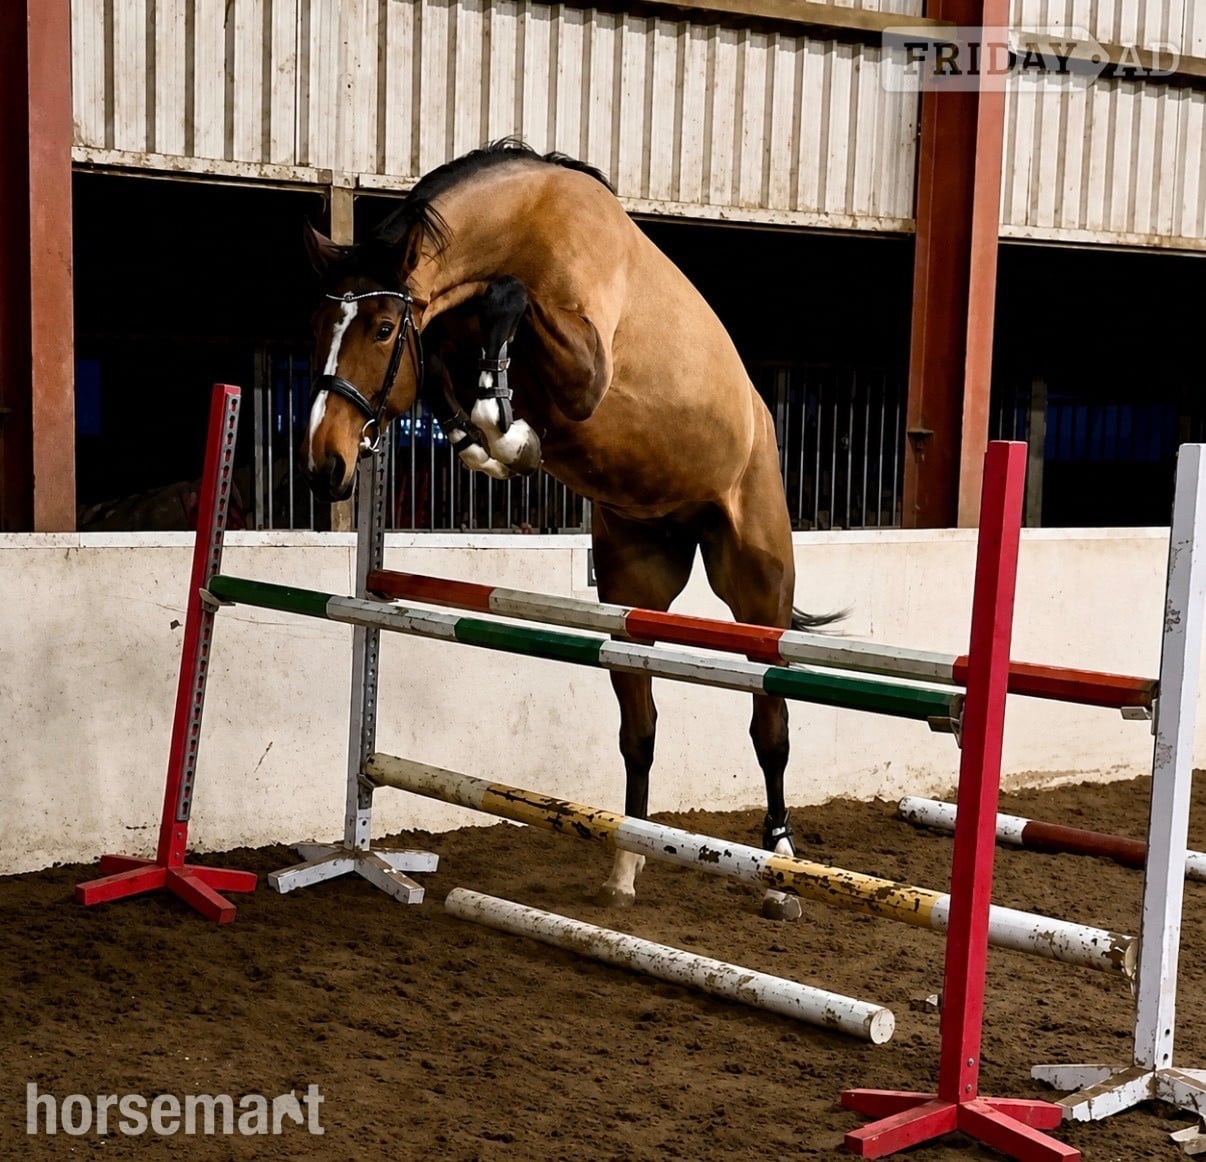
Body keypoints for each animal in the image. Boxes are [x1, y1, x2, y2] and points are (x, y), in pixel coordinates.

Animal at [300, 139, 839, 920]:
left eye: (380, 329)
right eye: (317, 329)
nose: (324, 466)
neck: (524, 227)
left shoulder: (584, 365)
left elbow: (509, 300)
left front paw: (506, 428)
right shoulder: (449, 342)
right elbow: (455, 388)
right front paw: (497, 436)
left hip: (757, 584)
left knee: (770, 723)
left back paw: (779, 864)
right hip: (632, 592)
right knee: (640, 727)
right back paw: (628, 861)